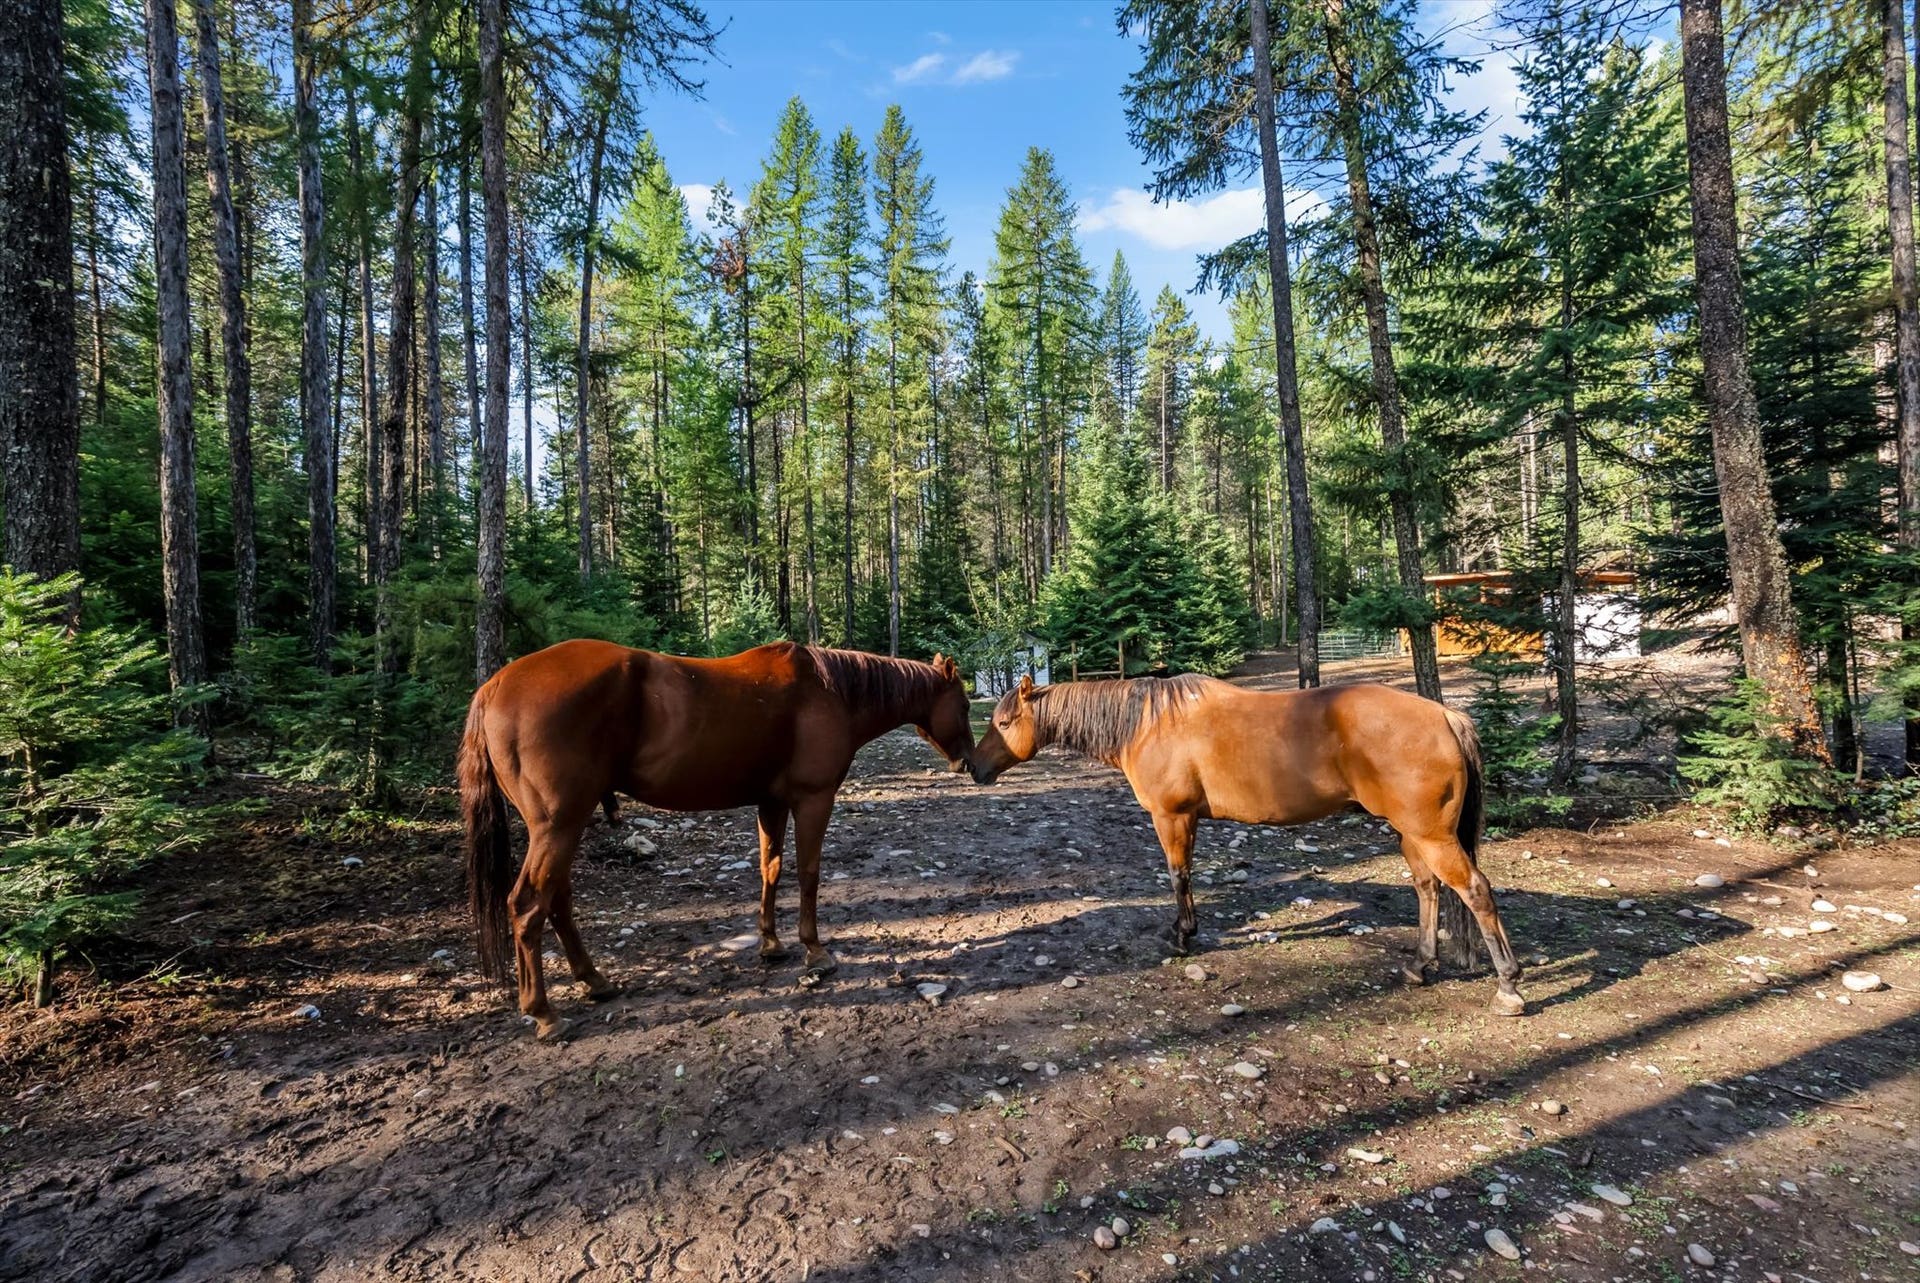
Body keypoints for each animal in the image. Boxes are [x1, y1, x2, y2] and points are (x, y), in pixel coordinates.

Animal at [459, 639, 976, 1040]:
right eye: (966, 706)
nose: (968, 762)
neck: (831, 691)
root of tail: (494, 686)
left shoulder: (772, 803)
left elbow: (771, 869)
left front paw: (771, 944)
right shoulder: (813, 799)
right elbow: (809, 874)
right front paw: (815, 952)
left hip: (561, 828)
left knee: (558, 901)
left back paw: (594, 981)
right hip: (559, 825)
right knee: (529, 905)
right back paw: (544, 1014)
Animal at [967, 673, 1526, 1016]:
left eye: (1003, 722)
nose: (973, 768)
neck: (1148, 723)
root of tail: (1445, 716)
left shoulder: (1172, 818)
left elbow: (1179, 875)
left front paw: (1182, 936)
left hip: (1431, 835)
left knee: (1475, 891)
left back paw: (1508, 986)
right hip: (1411, 836)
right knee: (1428, 889)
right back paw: (1419, 965)